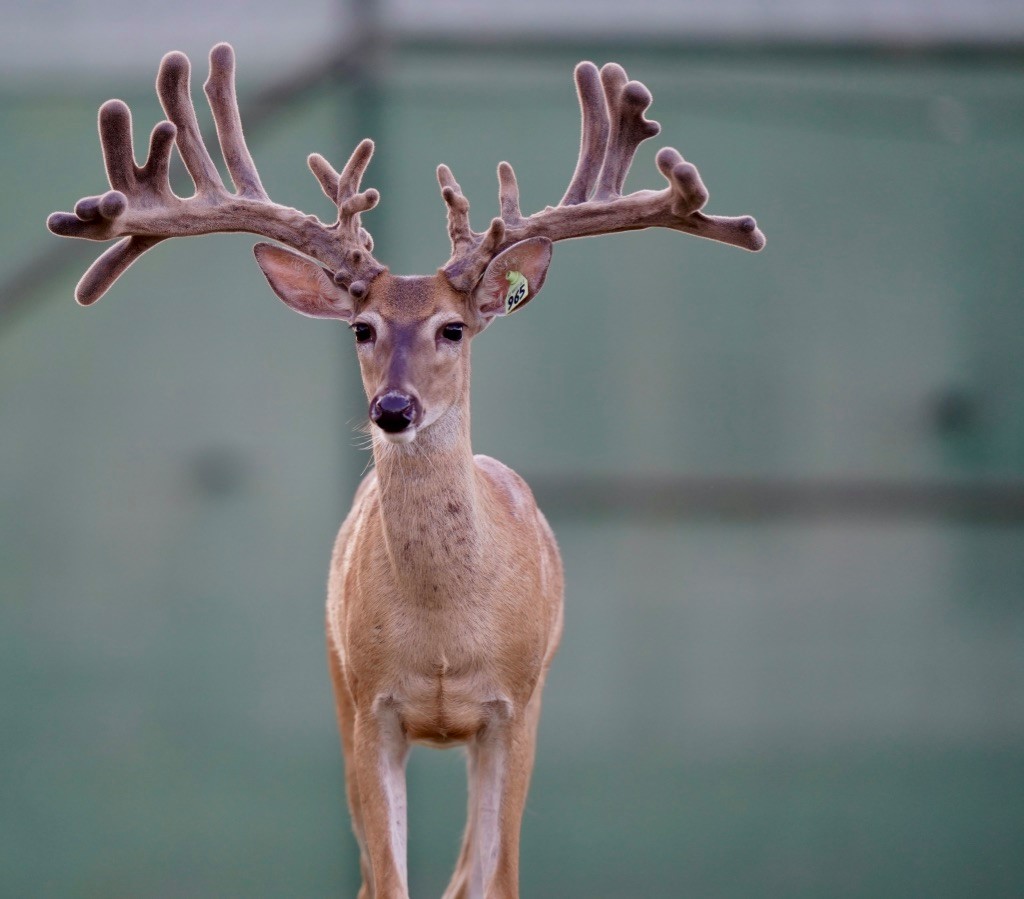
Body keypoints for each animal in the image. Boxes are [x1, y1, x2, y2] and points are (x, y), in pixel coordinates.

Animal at [47, 43, 764, 899]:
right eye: (362, 326)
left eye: (452, 328)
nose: (393, 407)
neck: (446, 637)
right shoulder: (370, 705)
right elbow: (389, 881)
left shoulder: (516, 704)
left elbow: (497, 877)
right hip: (336, 680)